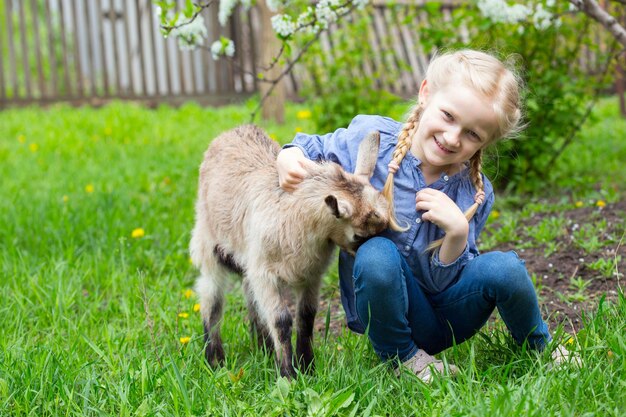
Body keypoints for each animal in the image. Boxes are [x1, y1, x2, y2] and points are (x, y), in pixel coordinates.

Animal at [188, 124, 388, 376]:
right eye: (358, 236)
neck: (293, 214)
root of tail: (236, 129)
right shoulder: (264, 273)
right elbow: (281, 320)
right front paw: (288, 374)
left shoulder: (310, 274)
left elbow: (306, 317)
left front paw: (307, 367)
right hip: (209, 244)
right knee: (211, 300)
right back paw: (215, 361)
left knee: (250, 297)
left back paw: (263, 349)